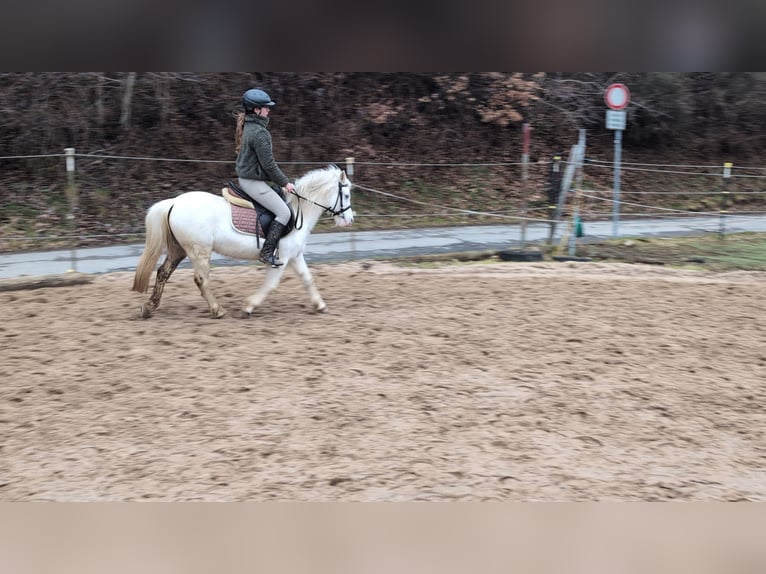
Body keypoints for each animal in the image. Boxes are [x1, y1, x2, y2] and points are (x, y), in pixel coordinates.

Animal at [131, 164, 354, 319]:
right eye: (346, 195)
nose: (350, 219)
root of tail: (174, 202)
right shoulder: (282, 259)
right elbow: (270, 285)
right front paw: (249, 306)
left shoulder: (295, 256)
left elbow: (307, 279)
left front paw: (320, 305)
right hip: (199, 251)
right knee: (201, 279)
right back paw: (217, 310)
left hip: (179, 249)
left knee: (163, 273)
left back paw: (148, 307)